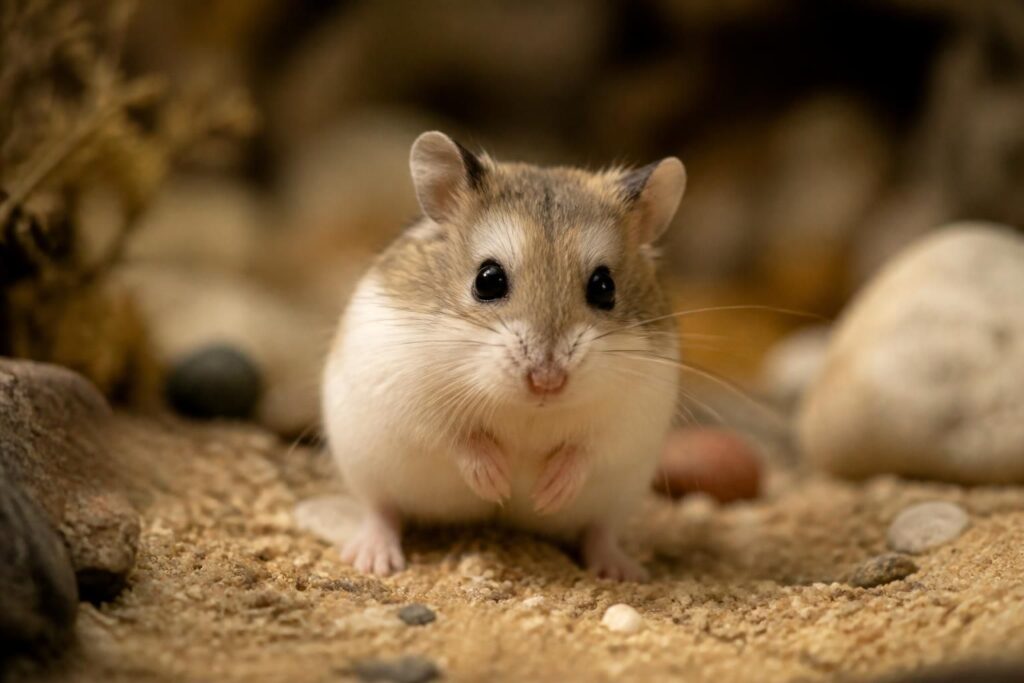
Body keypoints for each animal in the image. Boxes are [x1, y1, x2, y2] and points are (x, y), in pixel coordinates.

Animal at [322, 131, 686, 580]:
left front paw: (546, 493)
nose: (547, 381)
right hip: (367, 468)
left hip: (618, 497)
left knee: (598, 532)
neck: (528, 411)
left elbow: (584, 451)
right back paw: (374, 561)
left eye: (604, 287)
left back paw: (618, 570)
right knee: (381, 511)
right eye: (488, 280)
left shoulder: (627, 421)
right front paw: (497, 484)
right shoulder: (412, 401)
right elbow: (459, 439)